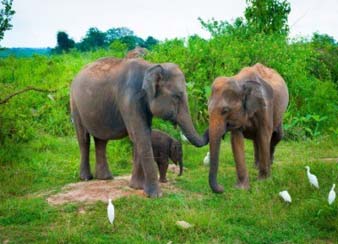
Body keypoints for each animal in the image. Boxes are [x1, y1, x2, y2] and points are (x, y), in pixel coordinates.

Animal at [70, 57, 207, 198]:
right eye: (177, 96)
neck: (151, 66)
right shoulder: (129, 99)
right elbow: (140, 135)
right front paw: (155, 195)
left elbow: (141, 135)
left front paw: (137, 187)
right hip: (75, 104)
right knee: (84, 138)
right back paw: (86, 178)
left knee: (101, 140)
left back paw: (105, 178)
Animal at [207, 63, 290, 193]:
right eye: (208, 108)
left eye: (225, 110)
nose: (222, 188)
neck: (240, 82)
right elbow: (236, 140)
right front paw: (241, 188)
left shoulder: (265, 107)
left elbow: (264, 135)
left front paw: (263, 182)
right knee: (257, 140)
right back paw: (256, 166)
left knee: (276, 136)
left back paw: (269, 164)